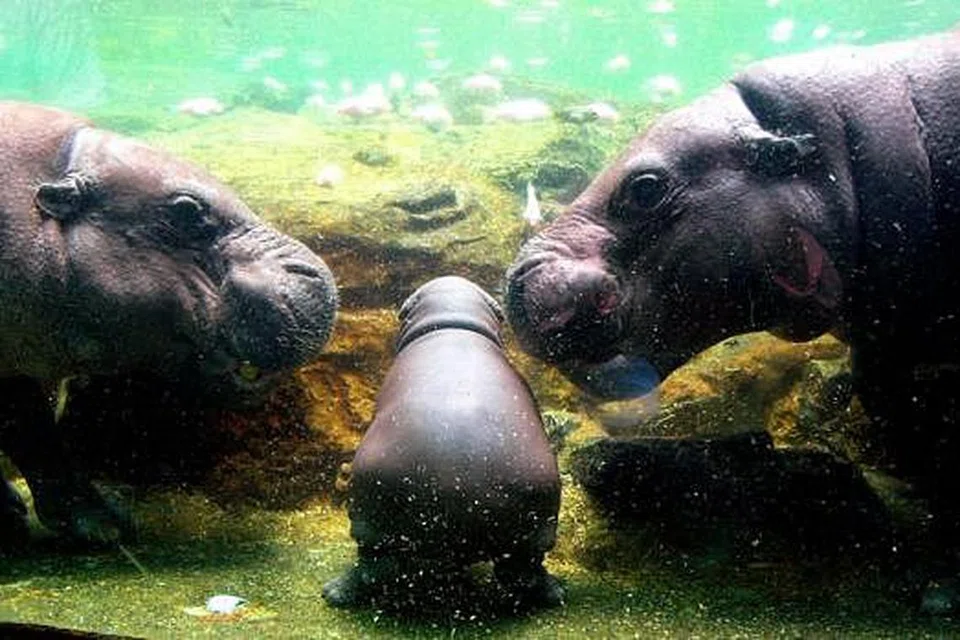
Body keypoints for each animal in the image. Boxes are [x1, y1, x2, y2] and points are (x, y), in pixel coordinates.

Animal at [323, 276, 562, 609]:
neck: (452, 319)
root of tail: (458, 484)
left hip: (368, 521)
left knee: (374, 567)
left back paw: (333, 593)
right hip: (535, 531)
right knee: (522, 572)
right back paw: (556, 592)